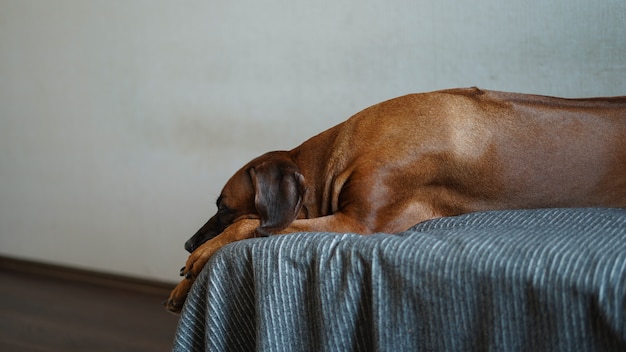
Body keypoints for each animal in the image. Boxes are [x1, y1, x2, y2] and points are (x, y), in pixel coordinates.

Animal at [163, 86, 620, 312]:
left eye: (222, 206)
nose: (185, 243)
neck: (341, 151)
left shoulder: (355, 222)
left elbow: (251, 225)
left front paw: (200, 257)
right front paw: (184, 282)